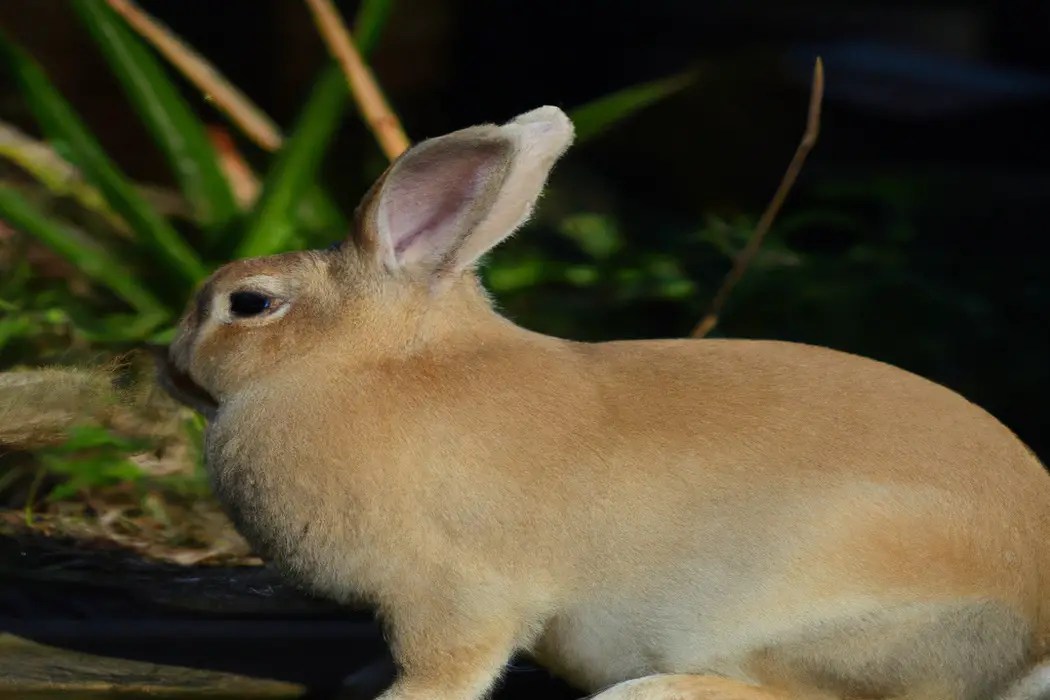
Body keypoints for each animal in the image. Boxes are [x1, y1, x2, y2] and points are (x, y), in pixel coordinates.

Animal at [156, 105, 1050, 700]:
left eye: (248, 304)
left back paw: (651, 694)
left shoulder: (454, 596)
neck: (363, 368)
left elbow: (445, 670)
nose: (167, 365)